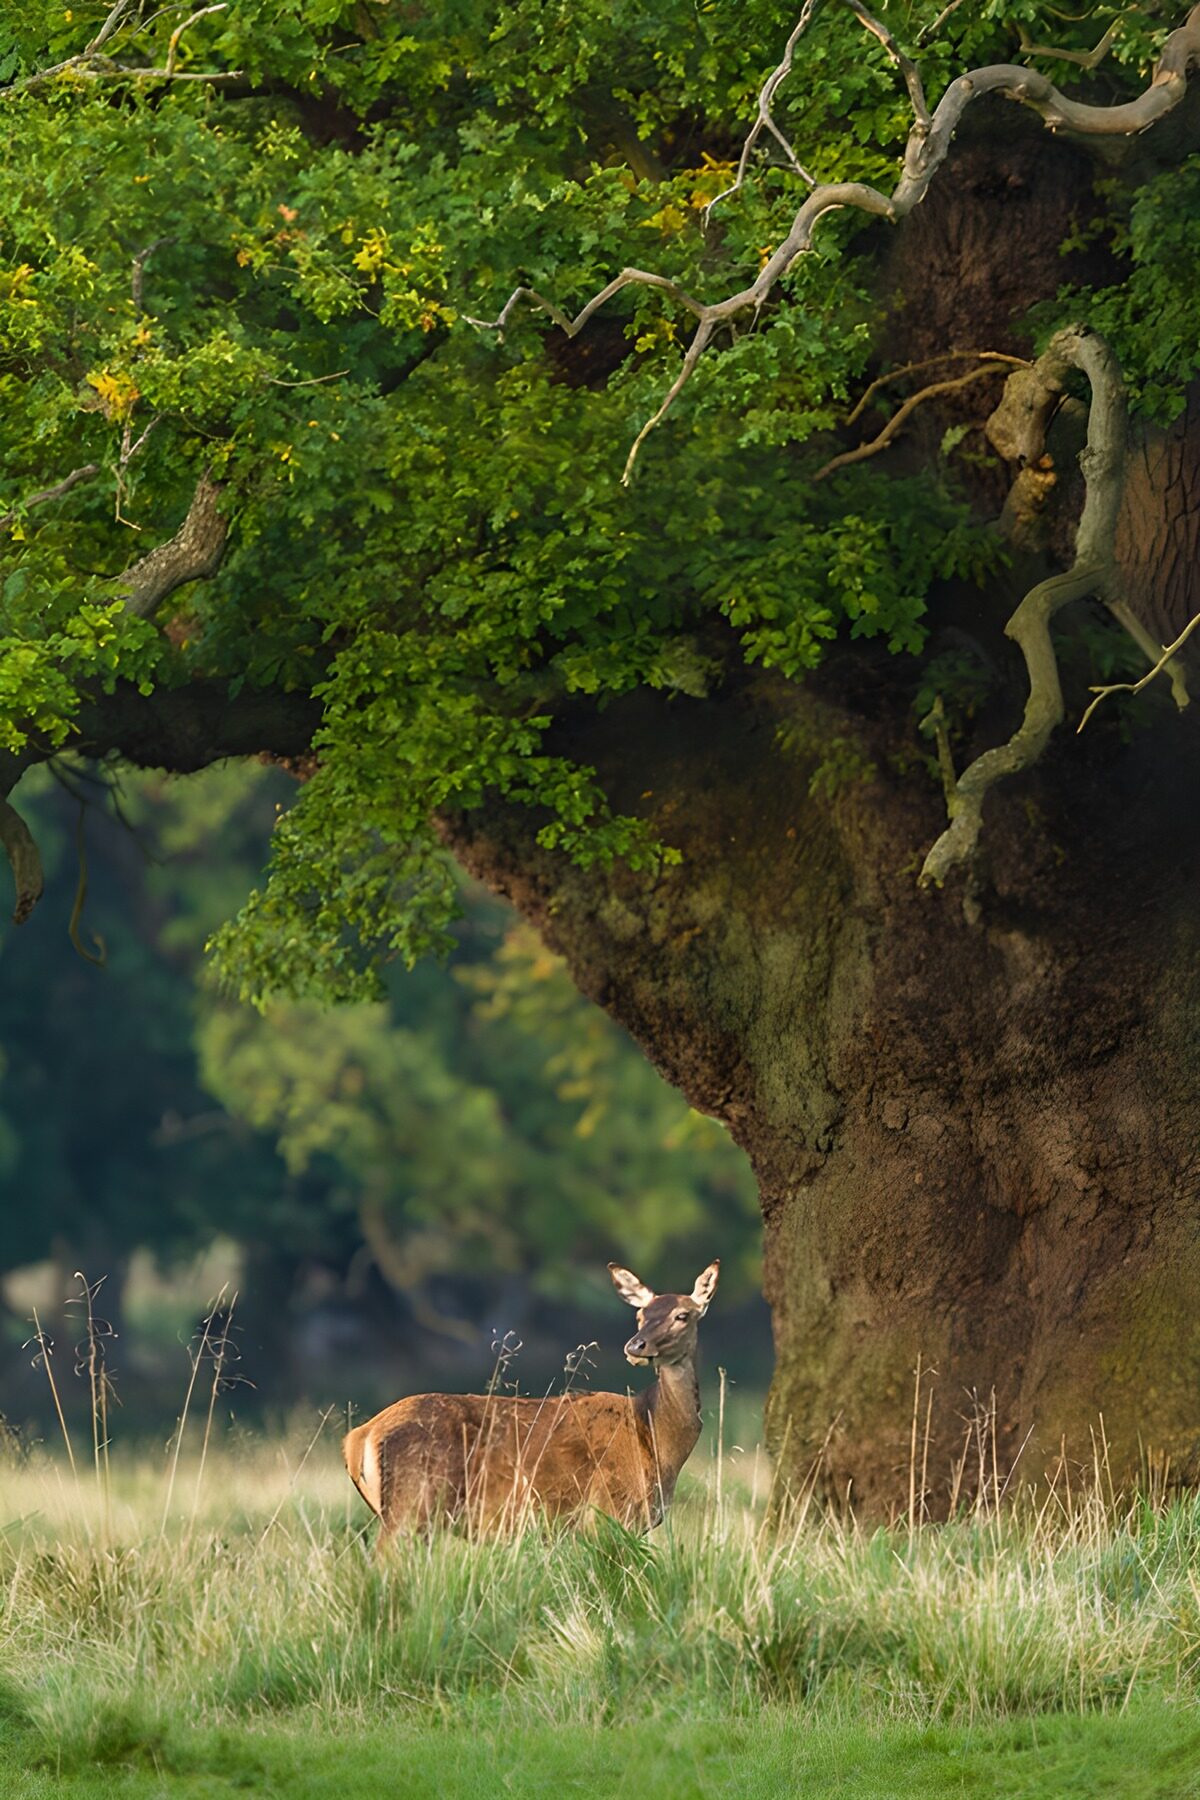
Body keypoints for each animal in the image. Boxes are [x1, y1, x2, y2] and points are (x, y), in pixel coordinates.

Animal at [342, 1259, 719, 1538]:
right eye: (640, 1315)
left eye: (682, 1315)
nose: (636, 1345)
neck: (654, 1440)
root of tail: (359, 1436)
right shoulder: (609, 1513)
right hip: (413, 1504)